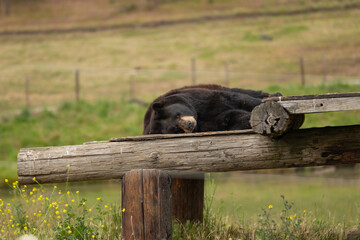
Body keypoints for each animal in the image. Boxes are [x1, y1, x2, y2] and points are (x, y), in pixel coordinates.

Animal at [143, 84, 282, 134]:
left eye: (177, 114)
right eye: (176, 129)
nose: (189, 124)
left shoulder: (200, 99)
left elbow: (237, 100)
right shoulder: (208, 124)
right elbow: (229, 118)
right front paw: (248, 119)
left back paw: (275, 94)